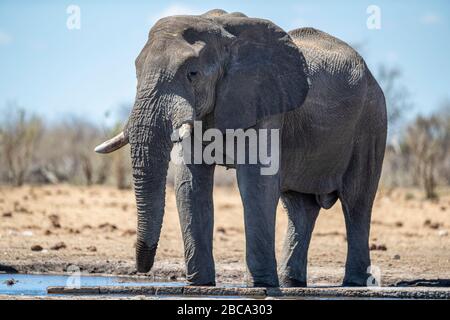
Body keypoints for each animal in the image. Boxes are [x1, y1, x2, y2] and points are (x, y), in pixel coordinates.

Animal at [95, 9, 386, 288]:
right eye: (136, 72)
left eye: (192, 74)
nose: (141, 269)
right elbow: (191, 184)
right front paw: (200, 284)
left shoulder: (264, 101)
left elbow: (256, 183)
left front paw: (260, 285)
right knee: (299, 208)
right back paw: (292, 283)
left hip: (371, 122)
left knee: (357, 202)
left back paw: (354, 283)